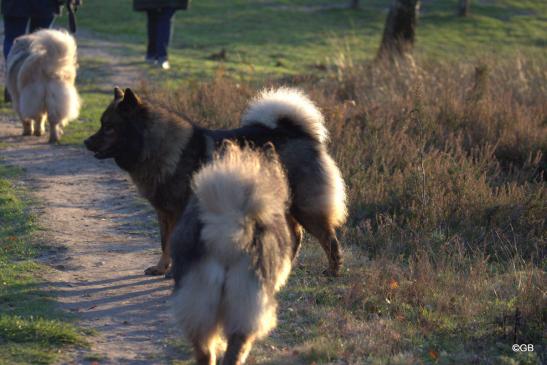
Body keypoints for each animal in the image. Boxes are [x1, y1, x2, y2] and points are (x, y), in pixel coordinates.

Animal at [86, 85, 346, 276]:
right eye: (101, 124)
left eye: (109, 127)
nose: (86, 142)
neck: (156, 146)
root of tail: (299, 133)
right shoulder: (164, 212)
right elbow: (164, 243)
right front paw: (161, 268)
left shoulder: (179, 212)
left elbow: (173, 243)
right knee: (296, 236)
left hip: (305, 207)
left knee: (328, 239)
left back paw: (332, 271)